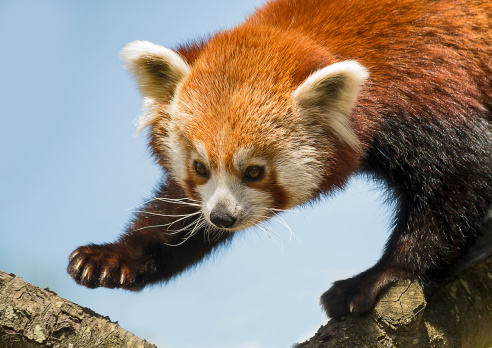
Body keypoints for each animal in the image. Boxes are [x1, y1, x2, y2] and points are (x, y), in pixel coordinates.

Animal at [67, 0, 492, 320]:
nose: (222, 217)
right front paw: (115, 256)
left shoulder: (427, 90)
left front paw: (379, 276)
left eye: (255, 172)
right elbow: (179, 216)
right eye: (200, 168)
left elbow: (462, 176)